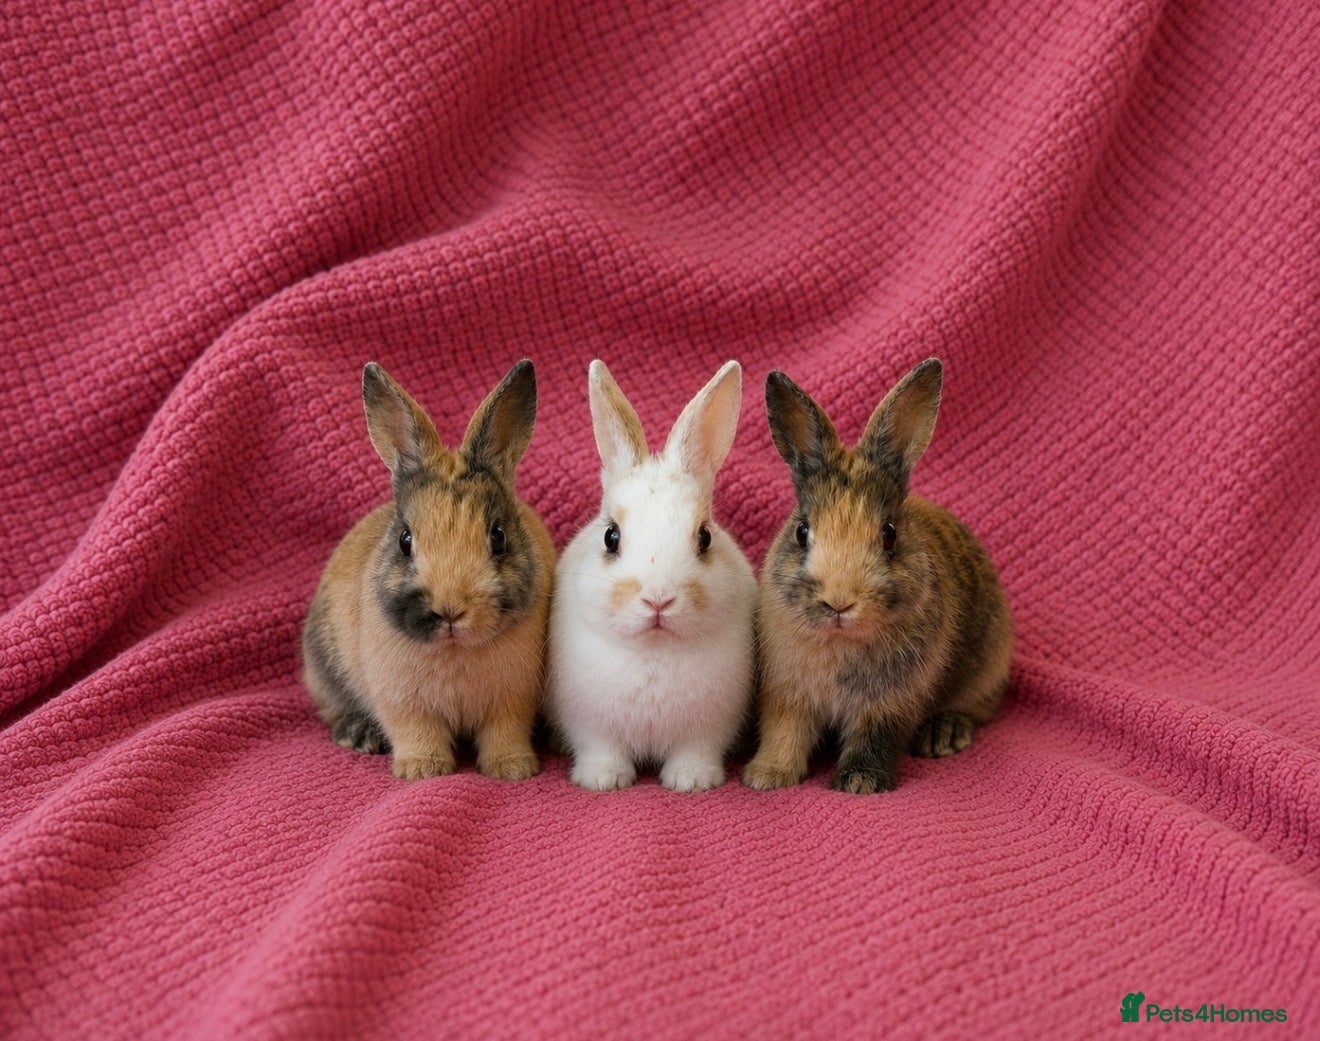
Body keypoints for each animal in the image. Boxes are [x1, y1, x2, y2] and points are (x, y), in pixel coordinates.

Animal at [302, 359, 556, 781]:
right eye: (405, 540)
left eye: (498, 536)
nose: (450, 610)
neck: (454, 649)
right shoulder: (402, 703)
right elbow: (417, 732)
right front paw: (422, 771)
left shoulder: (513, 701)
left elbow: (504, 733)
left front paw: (512, 769)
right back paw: (360, 735)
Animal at [546, 359, 757, 793]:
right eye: (611, 536)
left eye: (704, 537)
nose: (658, 600)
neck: (654, 649)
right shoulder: (590, 725)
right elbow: (601, 749)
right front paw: (603, 780)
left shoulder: (708, 729)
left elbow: (695, 752)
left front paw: (692, 782)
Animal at [743, 358, 1012, 794]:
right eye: (802, 531)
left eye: (889, 533)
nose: (839, 602)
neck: (841, 640)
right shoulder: (786, 694)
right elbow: (785, 733)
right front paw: (767, 777)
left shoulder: (890, 703)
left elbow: (874, 738)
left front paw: (859, 783)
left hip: (988, 665)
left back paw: (944, 734)